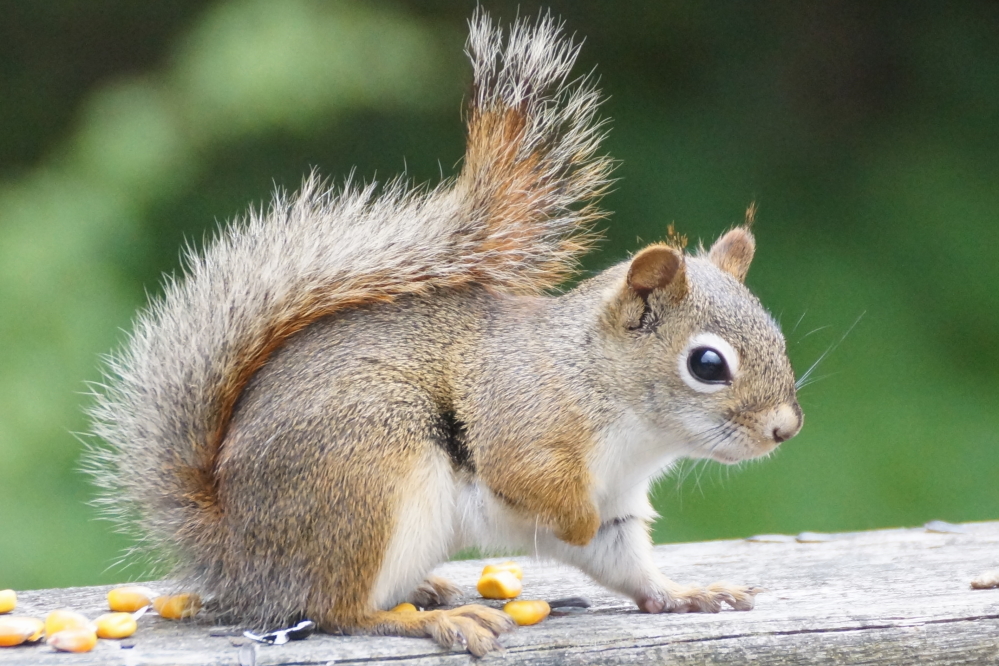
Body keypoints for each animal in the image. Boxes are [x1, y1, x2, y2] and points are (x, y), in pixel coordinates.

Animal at [86, 10, 802, 657]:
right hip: (367, 480)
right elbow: (532, 482)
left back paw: (432, 592)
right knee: (335, 609)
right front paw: (574, 521)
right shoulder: (525, 418)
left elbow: (628, 562)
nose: (786, 430)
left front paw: (688, 593)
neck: (617, 407)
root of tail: (235, 555)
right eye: (707, 365)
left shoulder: (620, 509)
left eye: (776, 334)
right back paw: (431, 618)